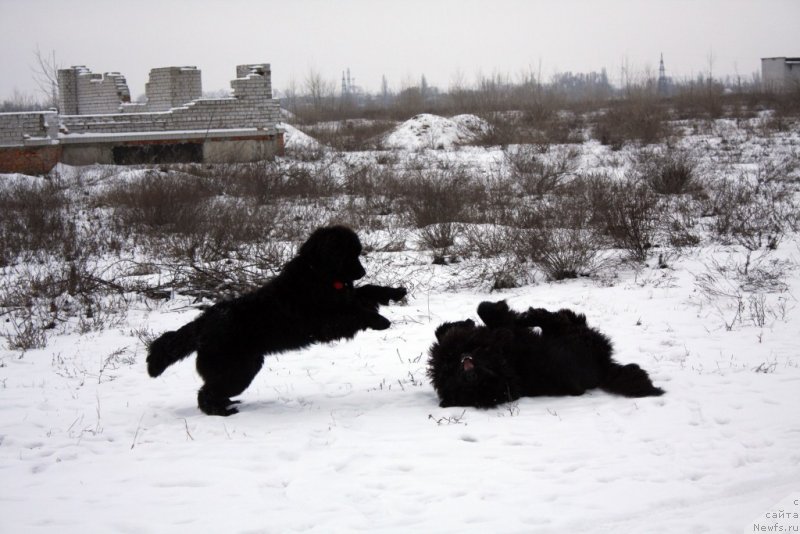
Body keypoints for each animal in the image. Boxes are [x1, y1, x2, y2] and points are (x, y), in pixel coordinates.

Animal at [147, 226, 406, 418]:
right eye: (346, 254)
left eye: (357, 252)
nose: (362, 272)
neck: (318, 274)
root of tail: (201, 324)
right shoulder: (326, 320)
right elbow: (355, 311)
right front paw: (380, 320)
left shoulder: (346, 297)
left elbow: (368, 291)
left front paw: (394, 292)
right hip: (237, 369)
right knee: (206, 393)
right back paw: (222, 411)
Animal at [428, 302, 664, 410]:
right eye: (459, 383)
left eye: (449, 371)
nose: (469, 374)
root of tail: (605, 366)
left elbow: (476, 314)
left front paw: (464, 321)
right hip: (574, 342)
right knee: (560, 321)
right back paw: (534, 315)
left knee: (565, 318)